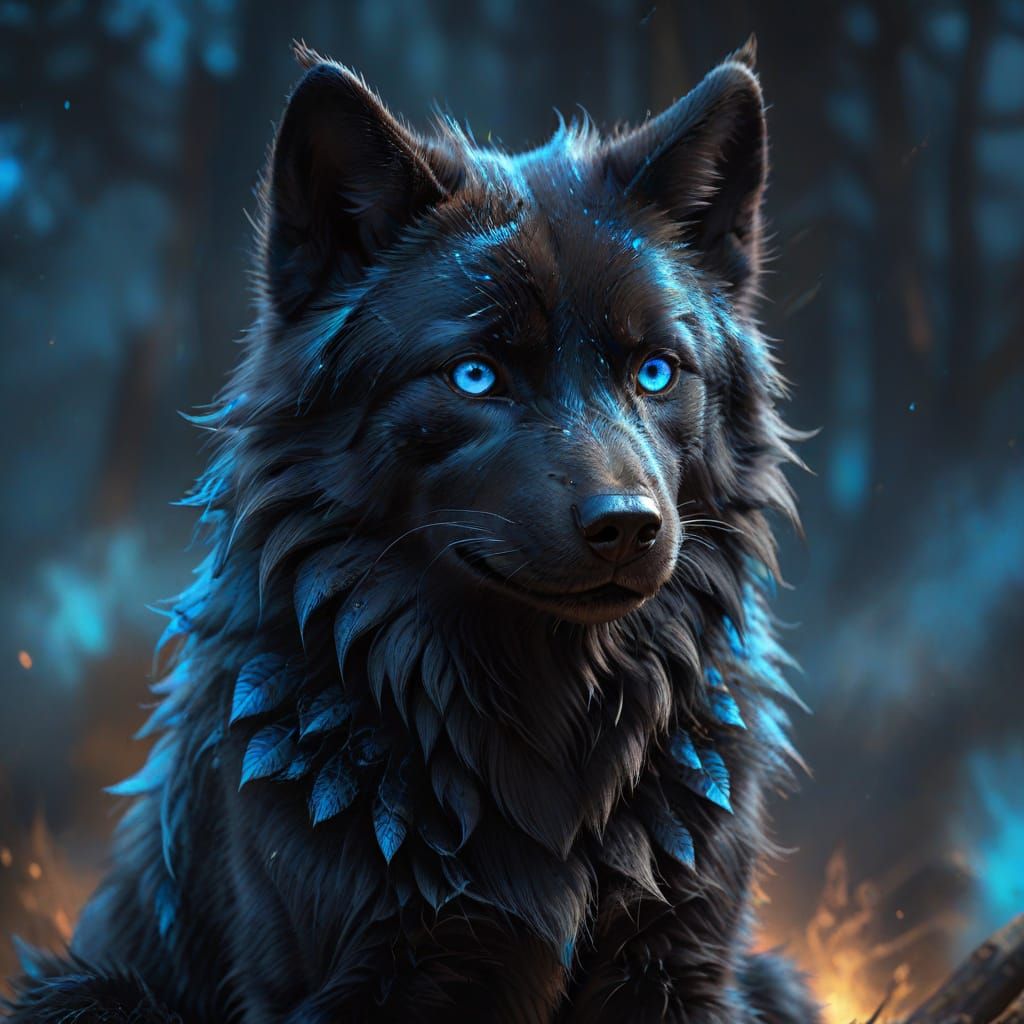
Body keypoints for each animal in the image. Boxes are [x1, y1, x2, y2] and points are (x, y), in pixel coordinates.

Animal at [4, 38, 820, 1023]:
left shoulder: (684, 970)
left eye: (656, 371)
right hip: (84, 989)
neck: (546, 744)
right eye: (475, 376)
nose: (628, 526)